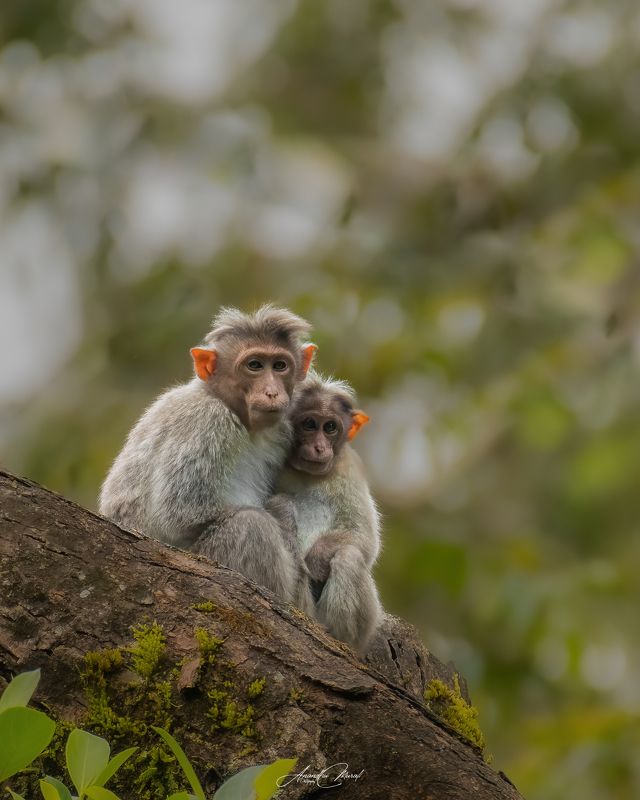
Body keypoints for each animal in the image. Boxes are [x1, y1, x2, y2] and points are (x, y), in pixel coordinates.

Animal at [99, 305, 317, 609]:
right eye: (254, 365)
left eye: (279, 366)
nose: (272, 392)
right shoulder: (206, 423)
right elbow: (181, 514)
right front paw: (284, 518)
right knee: (250, 525)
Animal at [274, 372, 383, 653]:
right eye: (310, 424)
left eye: (330, 427)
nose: (320, 447)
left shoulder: (349, 469)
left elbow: (363, 537)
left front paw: (316, 560)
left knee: (349, 557)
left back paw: (338, 636)